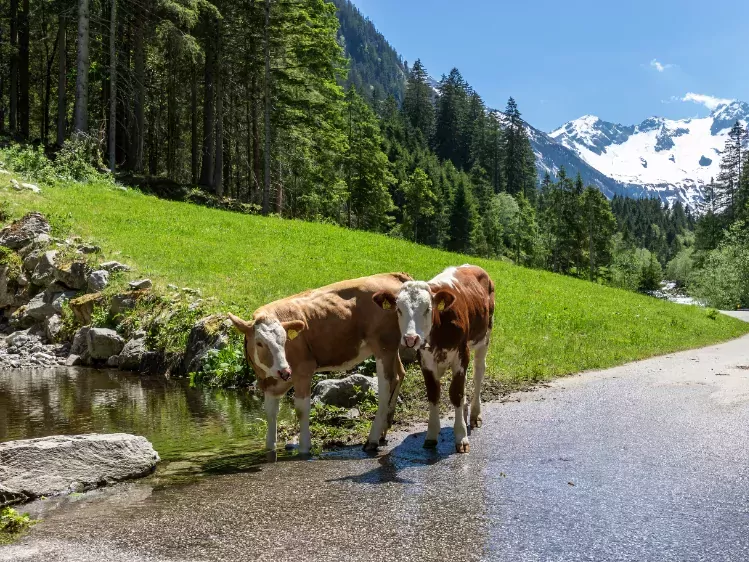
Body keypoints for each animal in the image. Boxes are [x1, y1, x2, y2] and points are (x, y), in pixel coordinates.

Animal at [228, 272, 412, 455]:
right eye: (259, 343)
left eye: (284, 340)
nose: (284, 371)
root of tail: (391, 275)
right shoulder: (269, 383)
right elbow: (270, 412)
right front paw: (270, 447)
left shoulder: (303, 370)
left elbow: (301, 409)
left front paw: (304, 447)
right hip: (391, 347)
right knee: (399, 374)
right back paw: (383, 432)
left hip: (384, 345)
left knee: (387, 384)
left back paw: (372, 440)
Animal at [372, 264, 494, 453]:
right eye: (399, 309)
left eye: (428, 309)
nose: (410, 338)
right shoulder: (425, 360)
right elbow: (433, 393)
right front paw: (431, 435)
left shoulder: (461, 353)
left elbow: (456, 393)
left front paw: (461, 436)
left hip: (484, 337)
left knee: (478, 373)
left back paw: (475, 414)